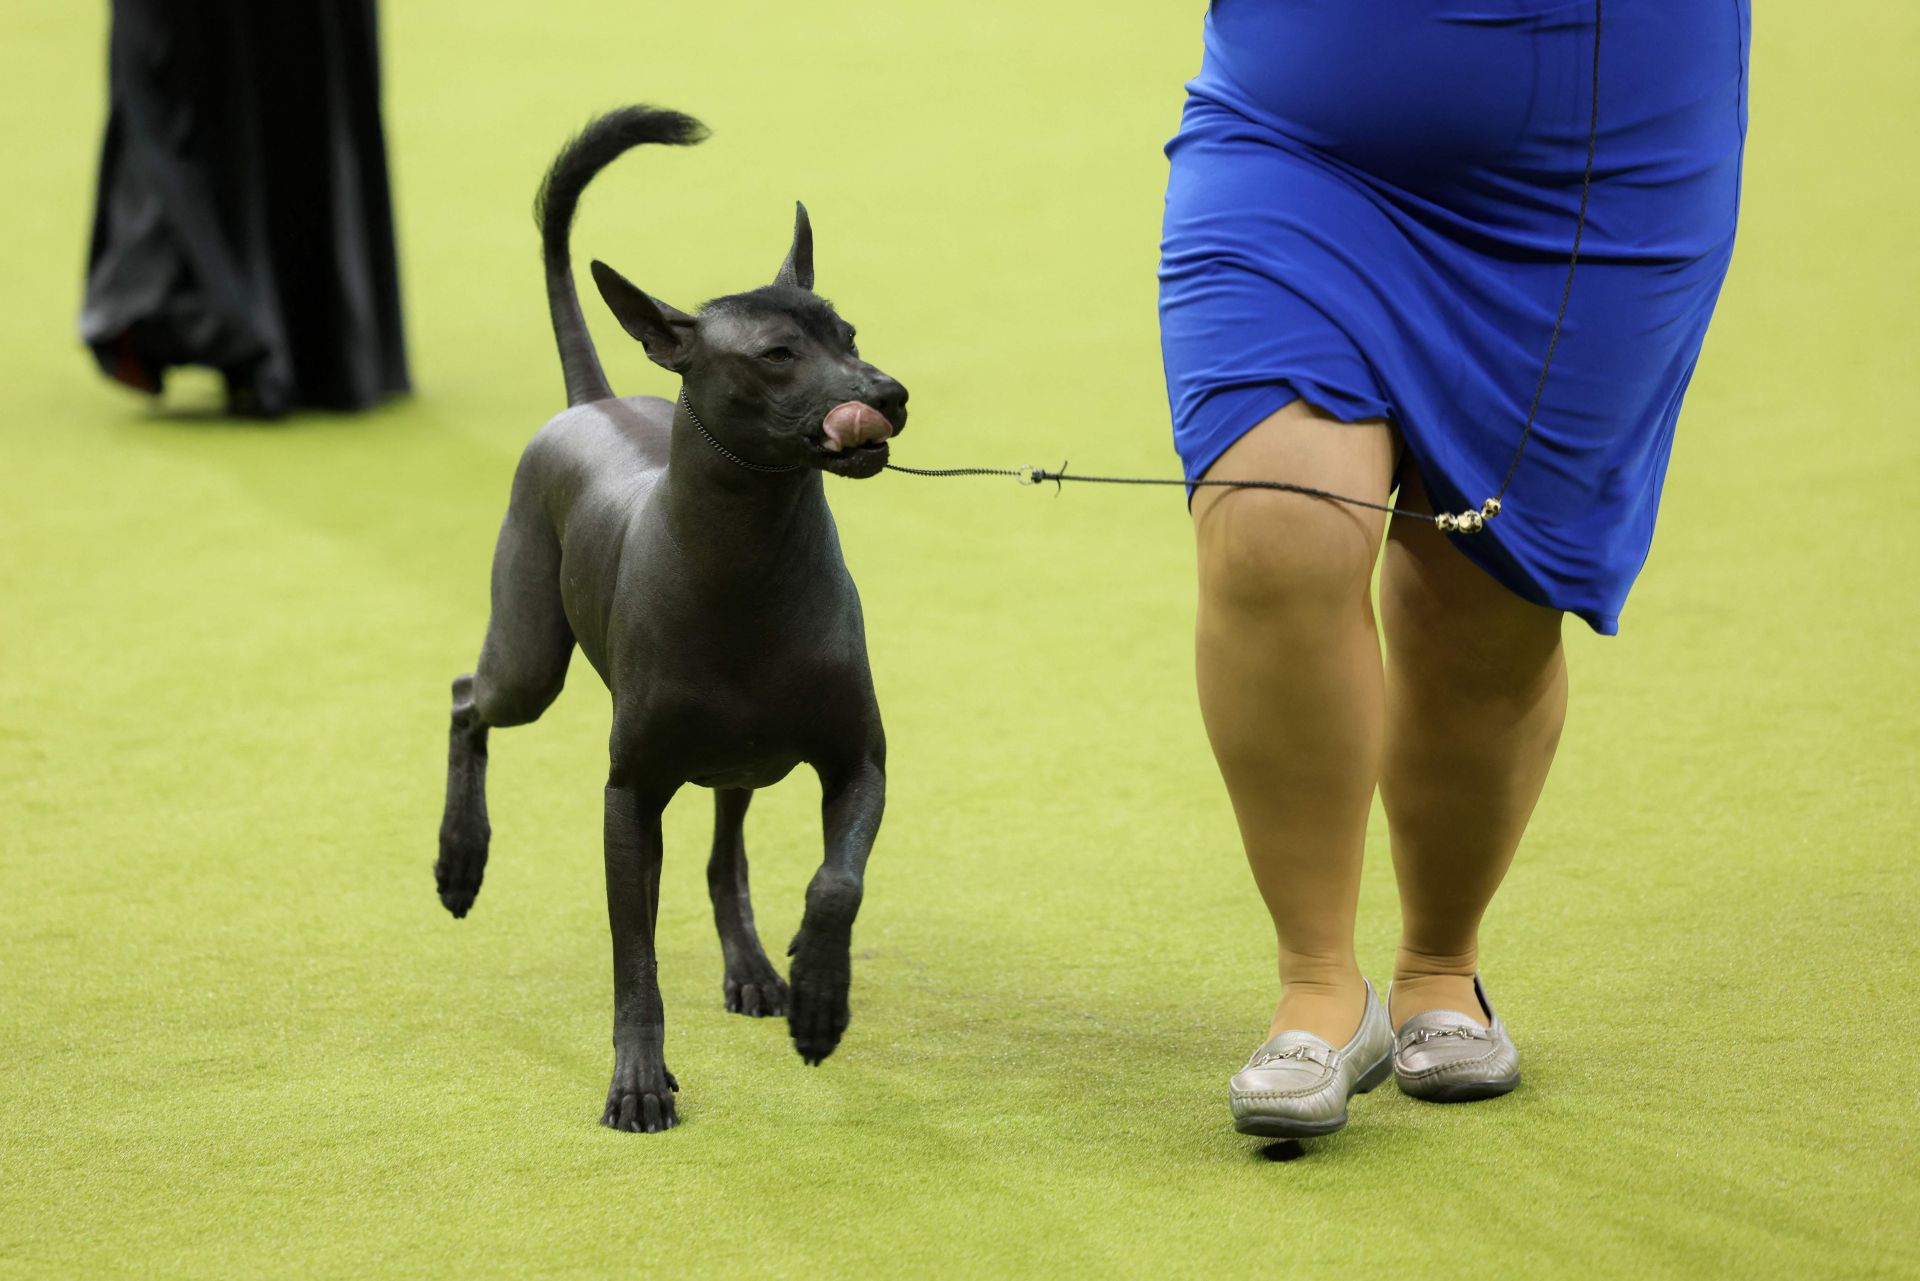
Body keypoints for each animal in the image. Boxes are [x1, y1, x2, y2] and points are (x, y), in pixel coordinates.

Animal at [435, 107, 906, 1129]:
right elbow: (634, 959)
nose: (887, 395)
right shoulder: (629, 796)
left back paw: (756, 966)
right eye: (777, 355)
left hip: (742, 761)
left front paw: (820, 992)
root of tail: (594, 398)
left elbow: (837, 880)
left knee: (726, 859)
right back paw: (460, 858)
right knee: (465, 699)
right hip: (529, 658)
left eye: (849, 331)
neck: (746, 561)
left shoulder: (858, 763)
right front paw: (639, 1080)